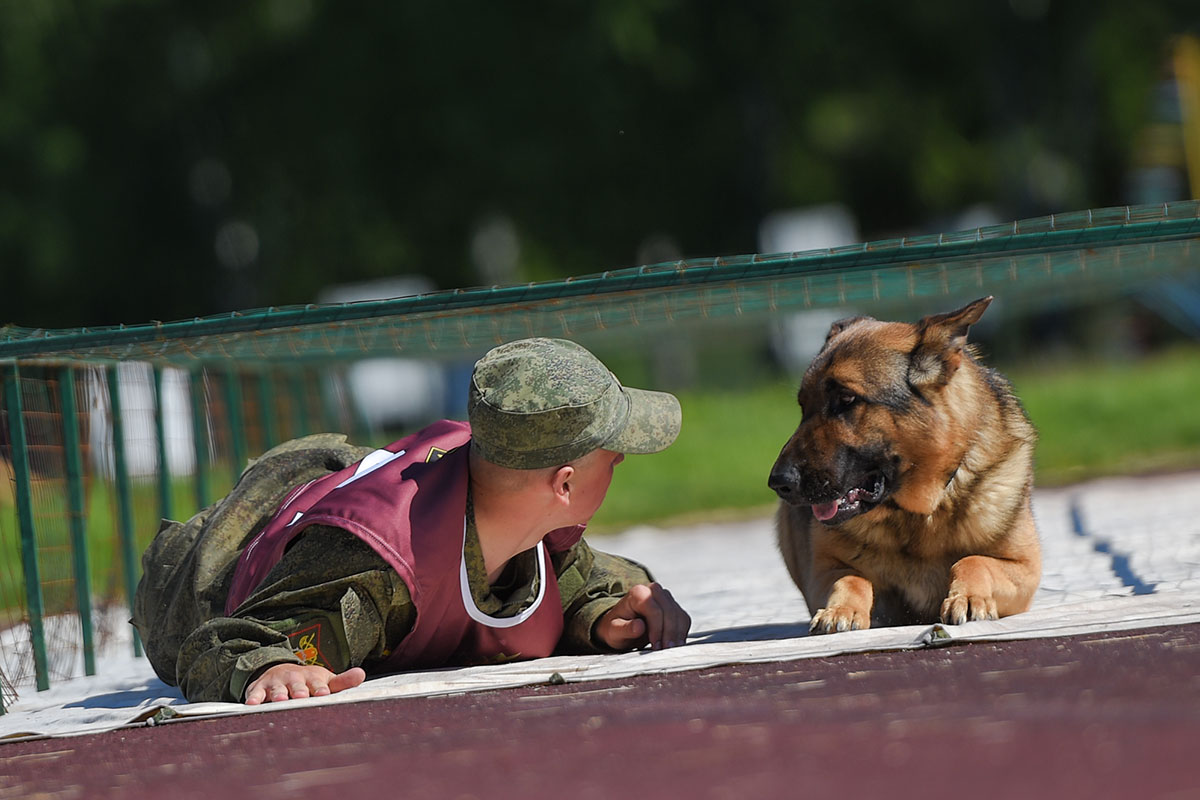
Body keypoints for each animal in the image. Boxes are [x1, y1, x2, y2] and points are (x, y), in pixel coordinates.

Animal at [768, 297, 1041, 633]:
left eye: (847, 399)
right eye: (803, 406)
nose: (778, 482)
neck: (919, 516)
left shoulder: (1025, 570)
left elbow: (973, 560)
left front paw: (967, 597)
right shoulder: (822, 572)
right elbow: (851, 578)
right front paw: (840, 609)